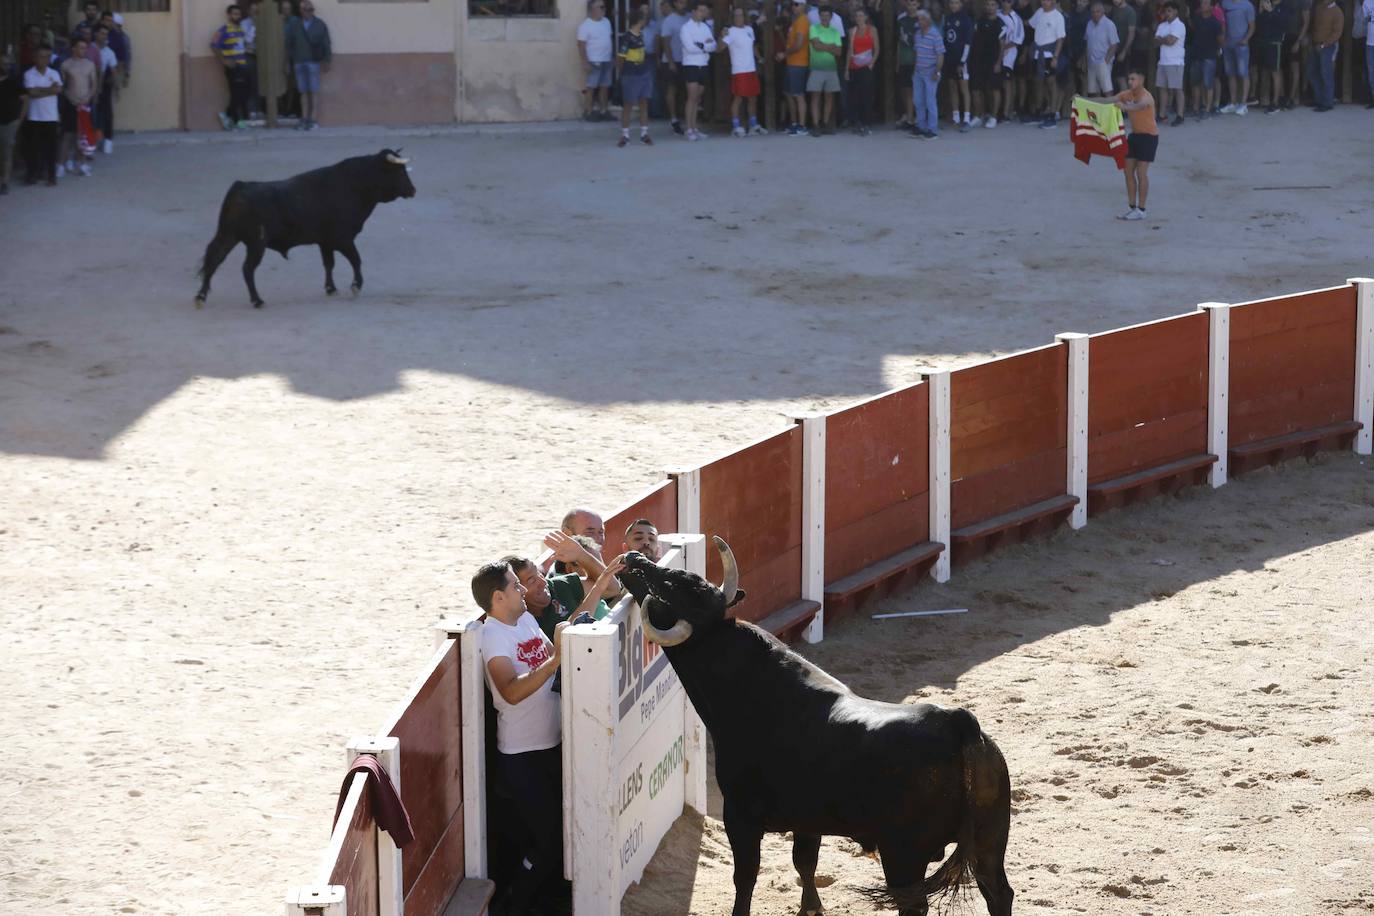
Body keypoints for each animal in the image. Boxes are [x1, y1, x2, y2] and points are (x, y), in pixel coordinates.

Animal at [195, 149, 412, 310]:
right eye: (399, 172)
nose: (413, 190)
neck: (355, 184)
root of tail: (240, 187)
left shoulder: (325, 242)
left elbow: (329, 264)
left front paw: (331, 288)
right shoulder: (342, 239)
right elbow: (356, 259)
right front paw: (355, 286)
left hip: (228, 236)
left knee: (214, 260)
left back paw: (200, 297)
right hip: (256, 244)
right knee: (247, 269)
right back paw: (257, 300)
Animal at [618, 538, 1016, 916]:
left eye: (671, 585)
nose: (633, 558)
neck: (749, 683)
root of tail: (959, 722)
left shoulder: (740, 815)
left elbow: (745, 877)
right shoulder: (807, 821)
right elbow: (805, 862)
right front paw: (811, 907)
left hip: (904, 853)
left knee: (914, 904)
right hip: (990, 839)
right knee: (998, 893)